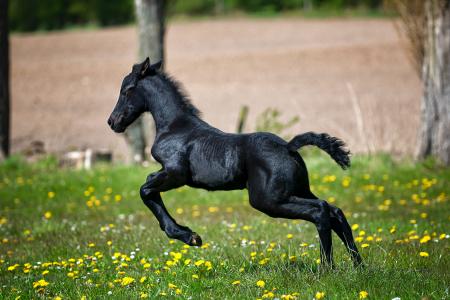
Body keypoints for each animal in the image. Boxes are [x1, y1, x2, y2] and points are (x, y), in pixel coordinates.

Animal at [106, 58, 362, 268]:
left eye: (126, 90)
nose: (112, 122)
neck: (175, 126)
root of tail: (289, 147)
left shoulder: (176, 174)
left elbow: (145, 189)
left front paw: (190, 236)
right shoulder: (166, 172)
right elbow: (149, 186)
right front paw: (188, 234)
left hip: (268, 200)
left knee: (320, 210)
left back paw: (327, 267)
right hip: (296, 190)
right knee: (335, 211)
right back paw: (358, 265)